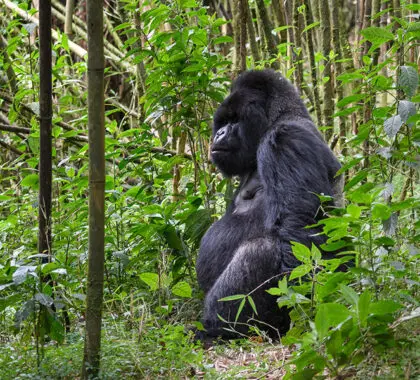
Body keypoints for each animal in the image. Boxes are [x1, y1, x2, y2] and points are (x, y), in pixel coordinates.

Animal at [195, 70, 342, 340]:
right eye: (223, 122)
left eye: (235, 120)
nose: (219, 135)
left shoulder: (284, 139)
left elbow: (299, 228)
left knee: (263, 249)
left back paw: (217, 329)